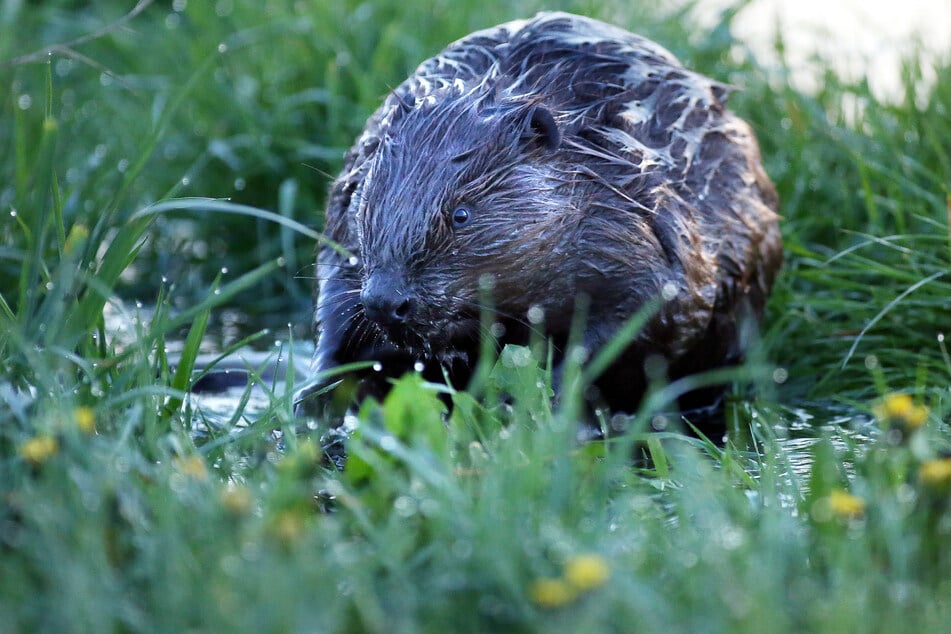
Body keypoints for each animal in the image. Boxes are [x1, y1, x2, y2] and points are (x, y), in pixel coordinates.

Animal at [298, 9, 780, 422]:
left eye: (461, 215)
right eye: (370, 200)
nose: (385, 300)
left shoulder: (642, 228)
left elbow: (641, 316)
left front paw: (529, 404)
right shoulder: (346, 214)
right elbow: (336, 298)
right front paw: (314, 395)